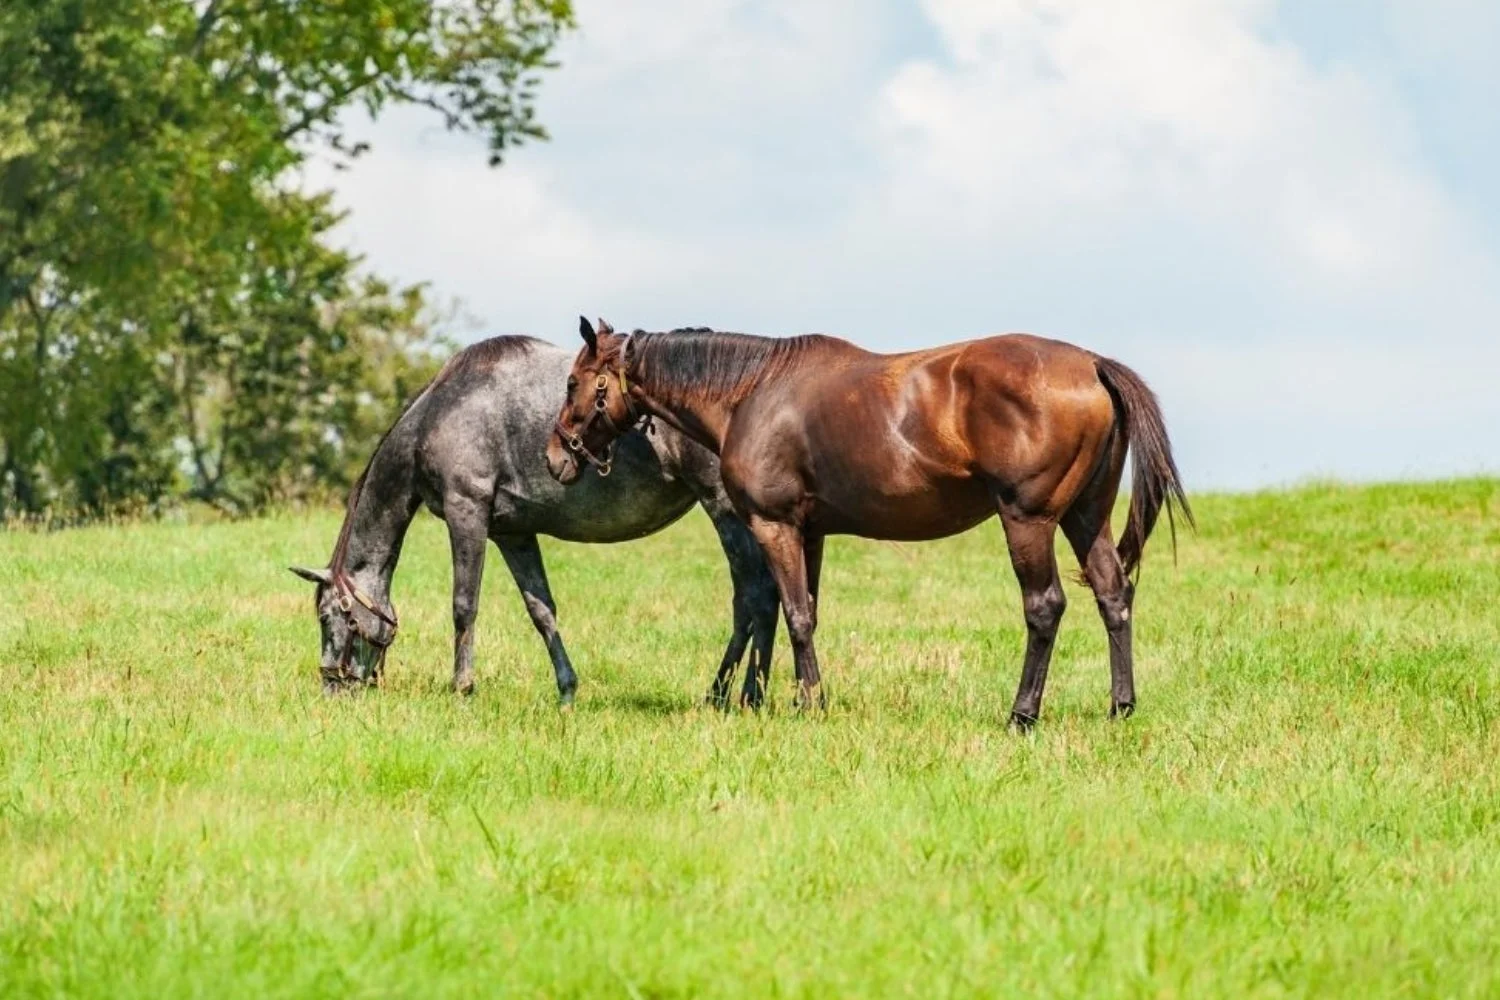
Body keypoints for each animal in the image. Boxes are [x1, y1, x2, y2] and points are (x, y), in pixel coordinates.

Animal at [290, 334, 780, 707]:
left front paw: (462, 688)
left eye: (331, 617)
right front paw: (567, 691)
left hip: (725, 511)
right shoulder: (514, 533)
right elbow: (541, 610)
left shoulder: (467, 512)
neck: (441, 412)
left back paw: (733, 696)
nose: (331, 686)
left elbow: (464, 605)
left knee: (753, 598)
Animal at [547, 318, 1192, 726]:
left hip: (1028, 520)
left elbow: (795, 613)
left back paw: (1022, 714)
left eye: (575, 382)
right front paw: (799, 698)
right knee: (1113, 595)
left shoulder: (774, 525)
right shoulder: (810, 532)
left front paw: (811, 705)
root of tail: (1092, 365)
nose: (556, 457)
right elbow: (802, 612)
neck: (752, 392)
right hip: (1086, 518)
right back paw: (1120, 707)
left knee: (1045, 607)